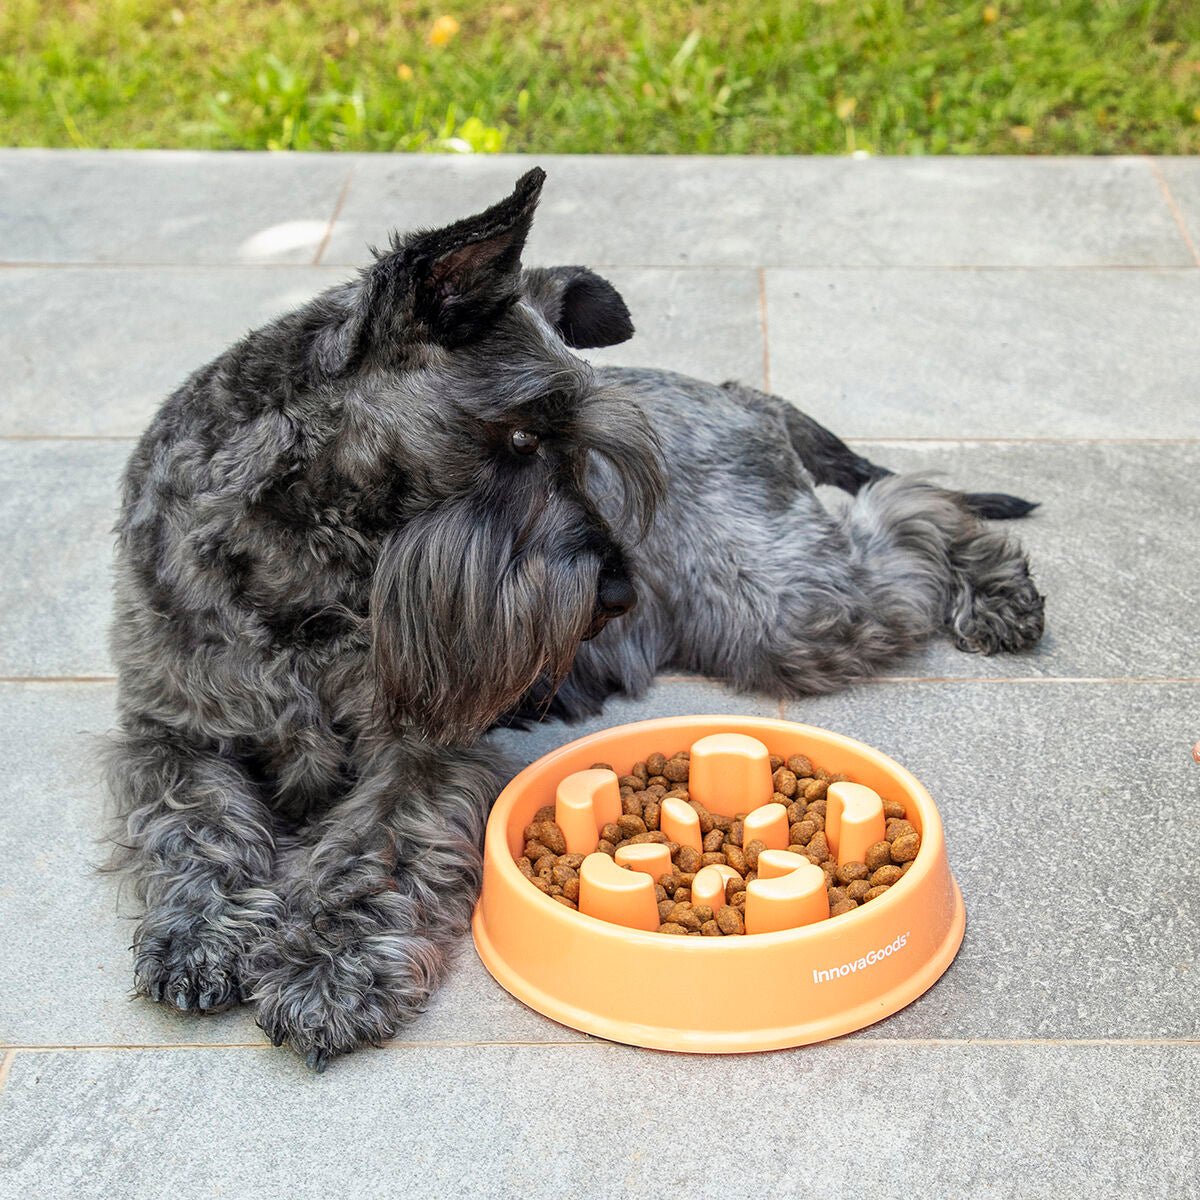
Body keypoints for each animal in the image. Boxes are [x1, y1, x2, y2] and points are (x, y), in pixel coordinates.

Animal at [105, 166, 1041, 1070]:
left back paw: (1000, 593)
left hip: (782, 602)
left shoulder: (421, 755)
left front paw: (328, 971)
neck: (310, 563)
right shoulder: (172, 732)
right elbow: (191, 823)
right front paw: (200, 936)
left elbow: (377, 851)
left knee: (913, 512)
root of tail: (743, 394)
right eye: (522, 439)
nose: (619, 596)